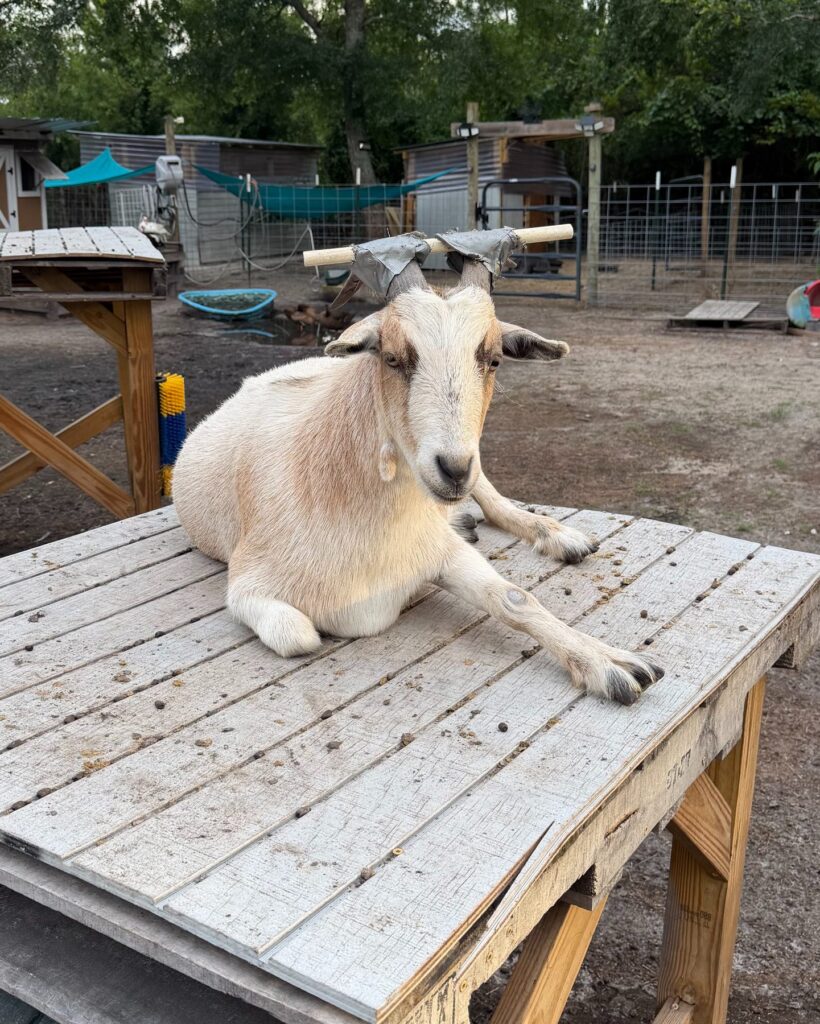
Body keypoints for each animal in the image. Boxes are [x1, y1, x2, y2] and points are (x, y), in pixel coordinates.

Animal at [173, 254, 663, 705]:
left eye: (494, 359)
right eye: (391, 357)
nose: (452, 469)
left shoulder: (438, 549)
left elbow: (514, 597)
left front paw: (610, 663)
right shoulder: (247, 584)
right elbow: (300, 634)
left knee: (491, 497)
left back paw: (560, 536)